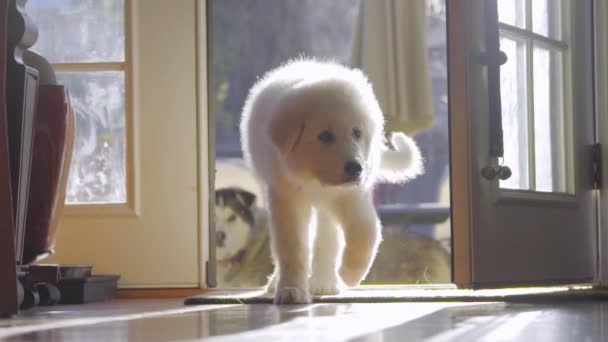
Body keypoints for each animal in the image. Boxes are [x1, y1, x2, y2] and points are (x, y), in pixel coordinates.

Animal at [239, 59, 422, 304]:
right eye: (324, 136)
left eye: (357, 132)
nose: (355, 168)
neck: (315, 182)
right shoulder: (286, 198)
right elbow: (292, 249)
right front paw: (291, 290)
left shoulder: (351, 196)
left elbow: (366, 231)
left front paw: (349, 275)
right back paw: (279, 283)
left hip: (328, 211)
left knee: (328, 240)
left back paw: (325, 282)